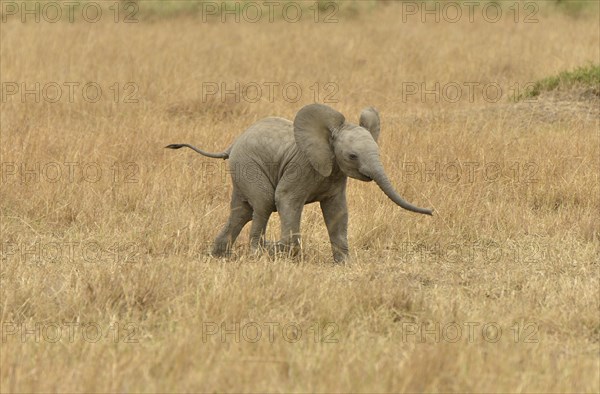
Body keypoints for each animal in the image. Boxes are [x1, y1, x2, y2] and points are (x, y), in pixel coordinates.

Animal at [166, 103, 434, 264]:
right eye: (352, 156)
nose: (432, 211)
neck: (328, 137)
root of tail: (232, 144)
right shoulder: (302, 167)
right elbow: (286, 199)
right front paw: (283, 251)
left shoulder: (336, 176)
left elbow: (338, 212)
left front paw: (343, 264)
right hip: (249, 166)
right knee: (263, 204)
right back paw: (258, 251)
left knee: (242, 211)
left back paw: (220, 255)